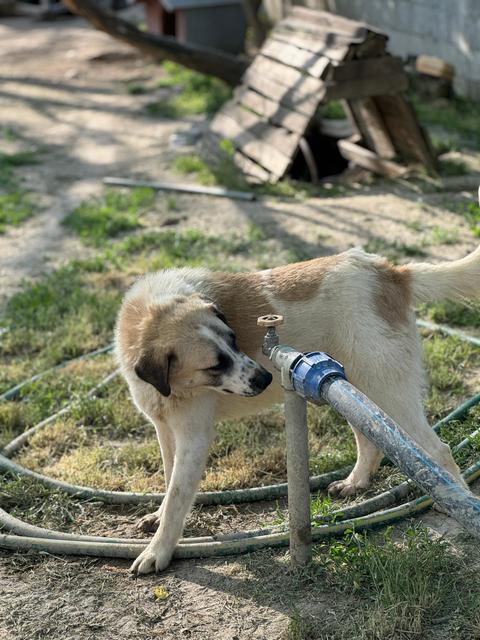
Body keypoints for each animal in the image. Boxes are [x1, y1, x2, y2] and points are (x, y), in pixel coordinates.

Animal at [115, 242, 480, 574]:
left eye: (234, 339)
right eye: (215, 364)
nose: (265, 378)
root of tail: (391, 272)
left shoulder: (194, 437)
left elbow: (178, 496)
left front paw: (157, 552)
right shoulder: (166, 429)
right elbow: (168, 479)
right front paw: (157, 518)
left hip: (388, 391)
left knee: (437, 450)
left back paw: (458, 507)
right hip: (352, 387)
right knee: (370, 439)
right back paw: (356, 482)